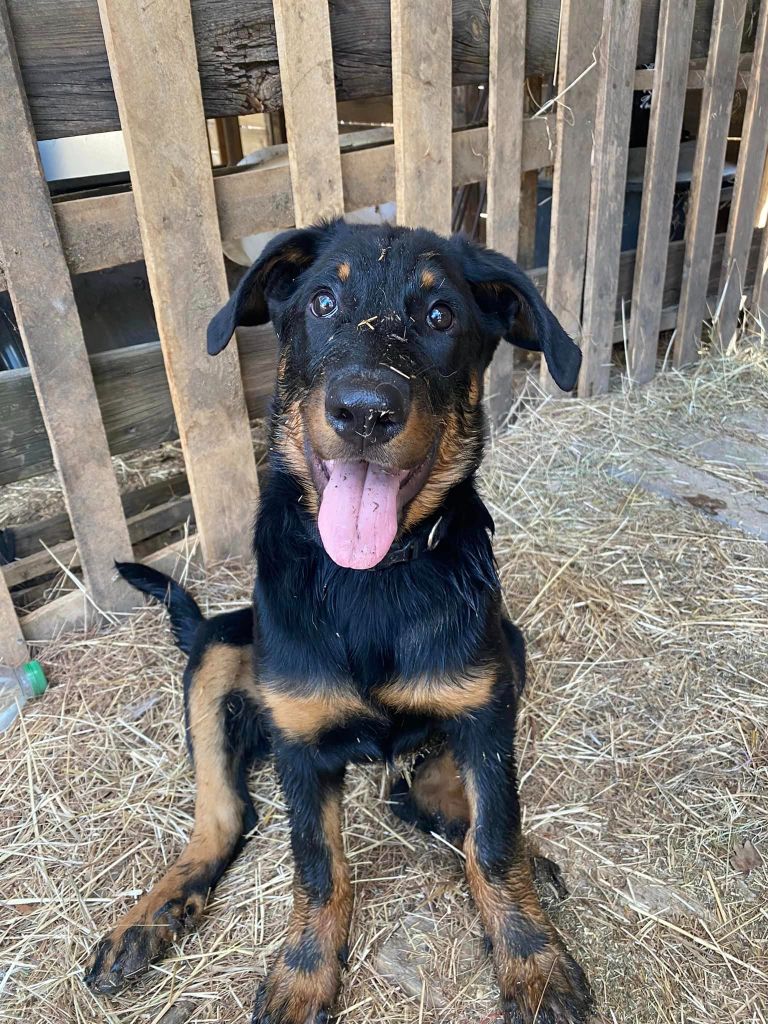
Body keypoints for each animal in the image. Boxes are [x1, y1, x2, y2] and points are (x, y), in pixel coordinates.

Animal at [85, 224, 589, 1024]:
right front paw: (303, 974)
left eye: (441, 315)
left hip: (503, 648)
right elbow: (319, 868)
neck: (369, 581)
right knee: (223, 816)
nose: (364, 410)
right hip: (217, 652)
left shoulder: (482, 708)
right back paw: (150, 916)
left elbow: (495, 842)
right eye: (322, 301)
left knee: (430, 788)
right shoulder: (299, 743)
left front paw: (532, 961)